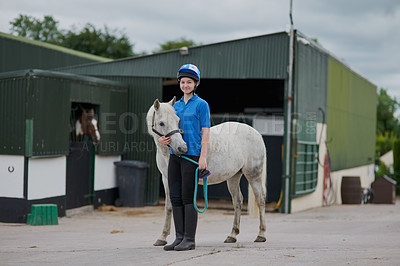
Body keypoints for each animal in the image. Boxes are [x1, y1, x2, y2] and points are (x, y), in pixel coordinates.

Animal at [148, 97, 268, 245]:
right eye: (161, 123)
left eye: (177, 120)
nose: (182, 148)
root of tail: (256, 133)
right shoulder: (167, 179)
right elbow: (169, 206)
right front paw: (162, 237)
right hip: (234, 177)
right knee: (237, 201)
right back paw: (232, 235)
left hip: (253, 175)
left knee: (260, 199)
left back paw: (261, 235)